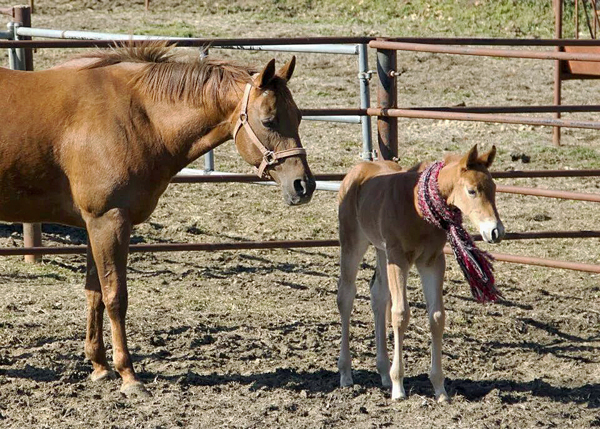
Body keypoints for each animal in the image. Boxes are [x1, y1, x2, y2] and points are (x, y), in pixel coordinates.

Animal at [0, 43, 316, 394]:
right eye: (269, 120)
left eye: (299, 117)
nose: (303, 185)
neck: (138, 116)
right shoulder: (109, 221)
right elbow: (115, 297)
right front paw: (128, 375)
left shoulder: (95, 224)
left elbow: (94, 293)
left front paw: (99, 367)